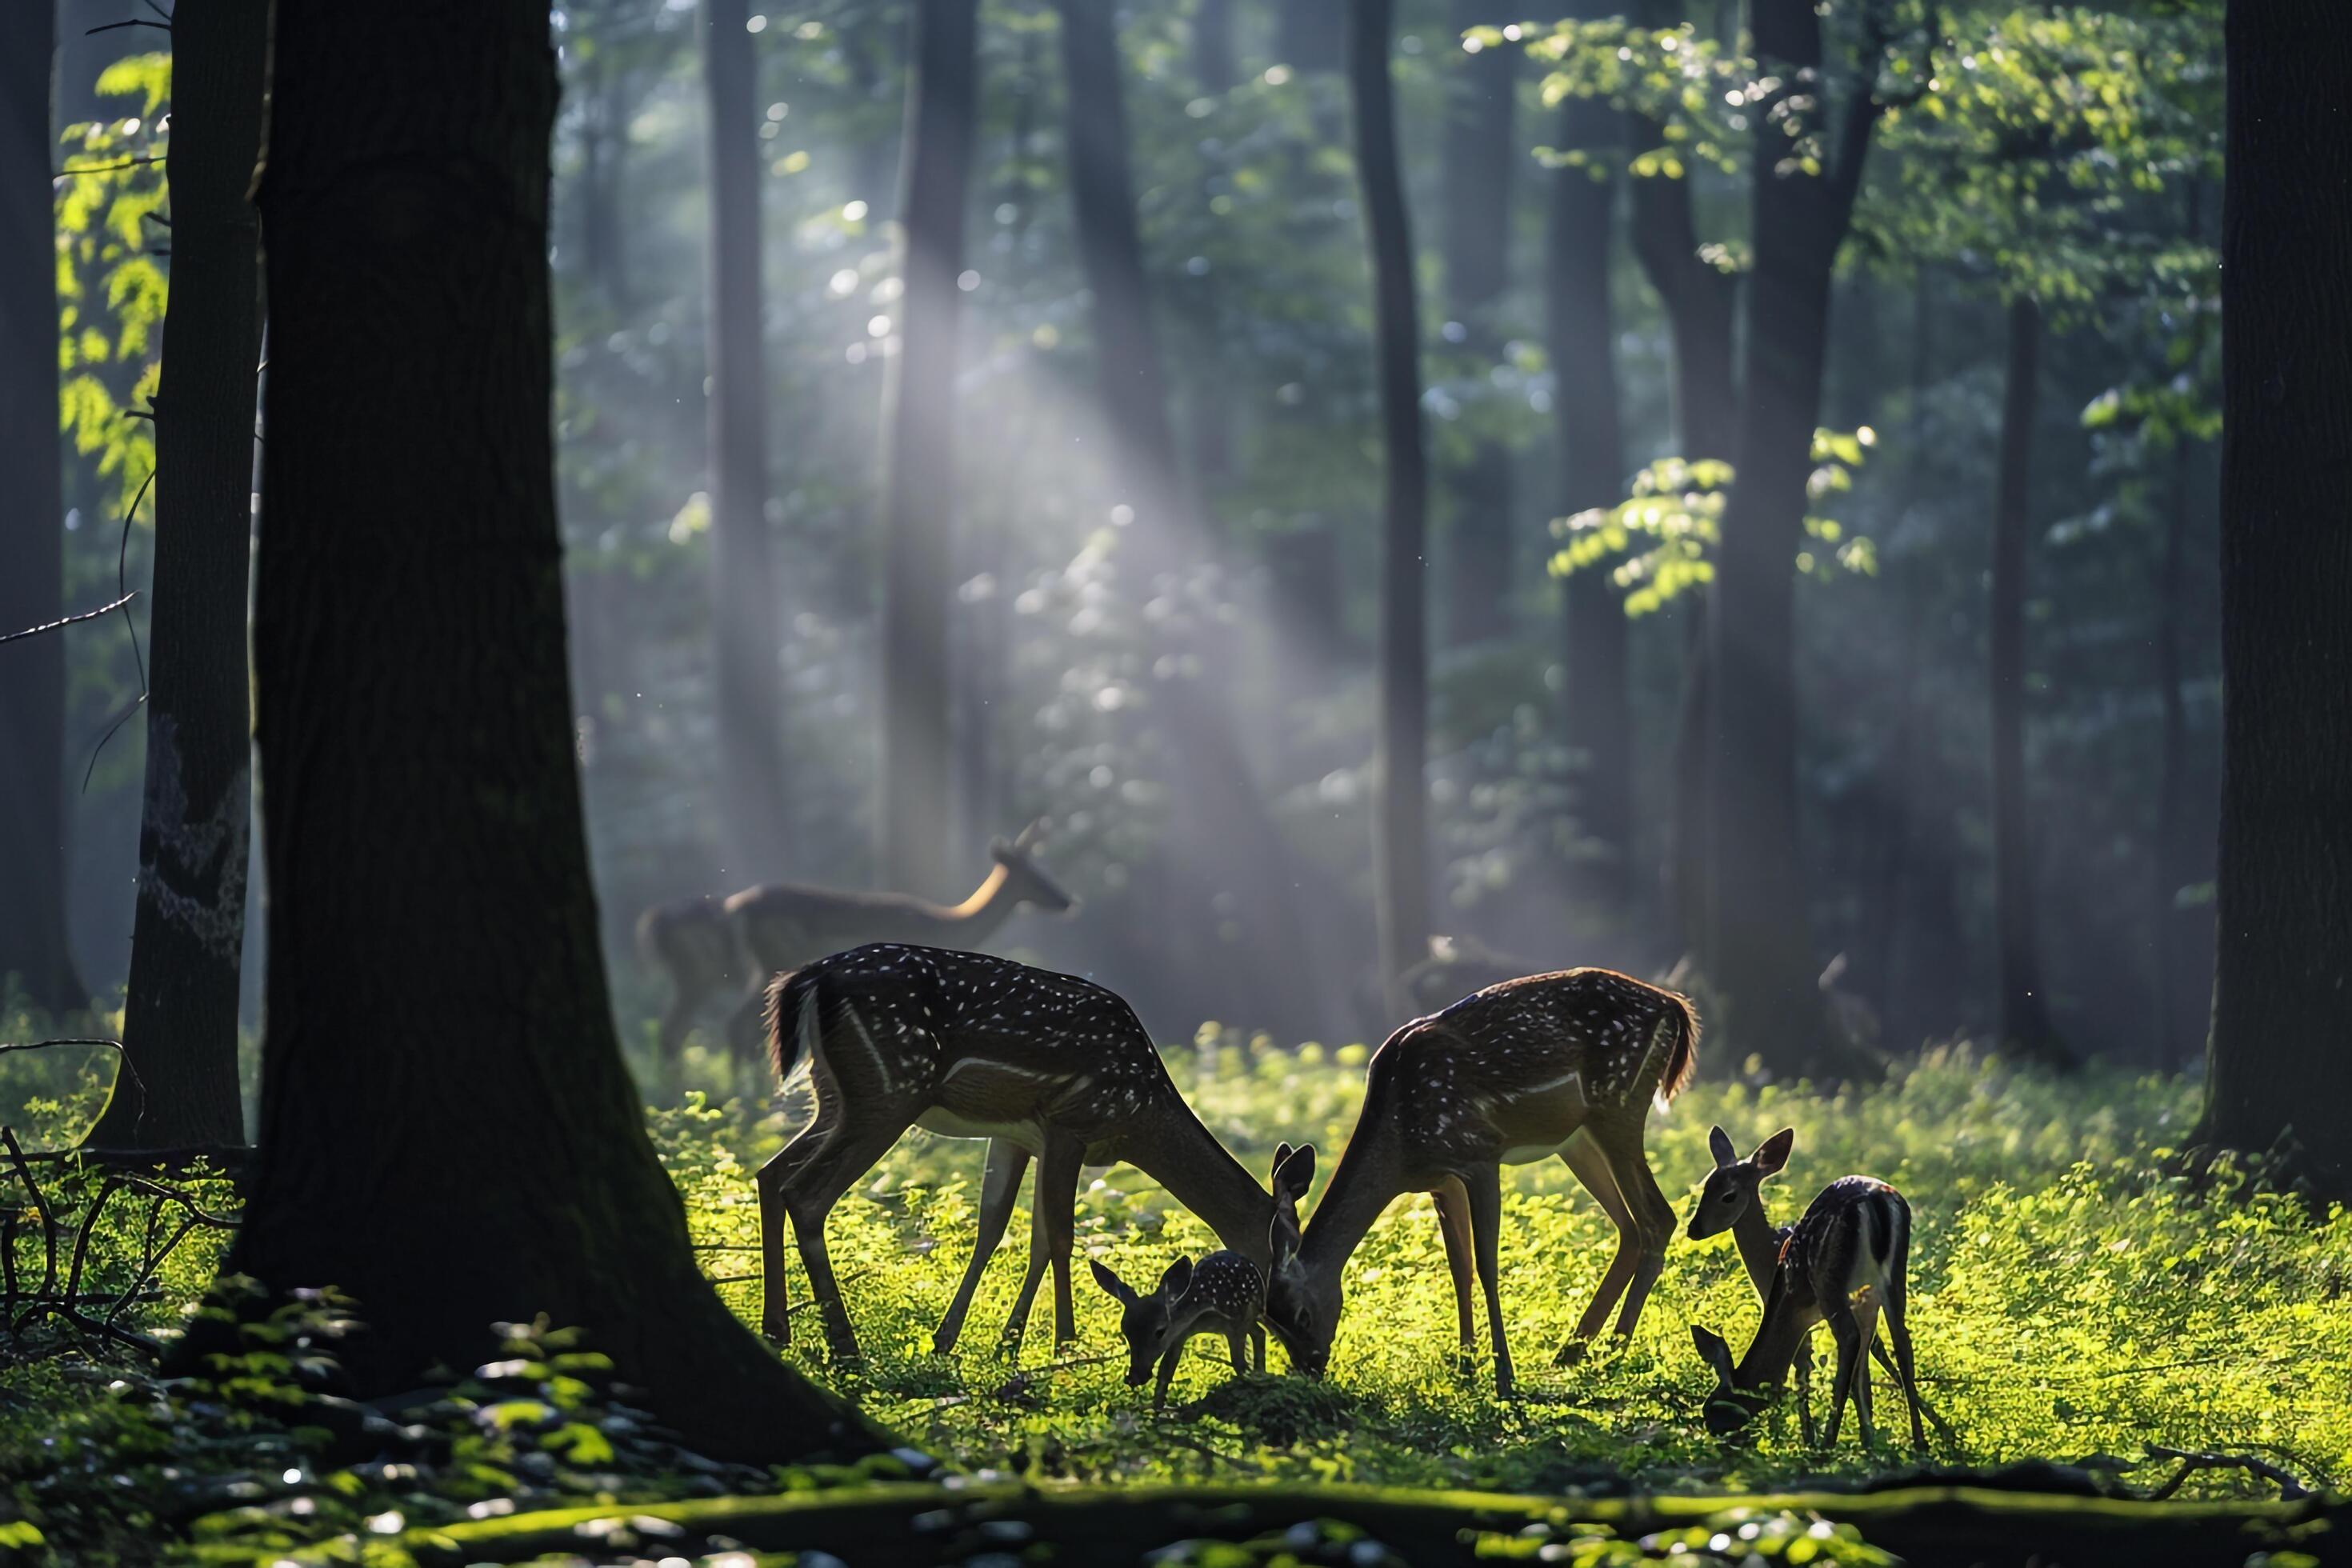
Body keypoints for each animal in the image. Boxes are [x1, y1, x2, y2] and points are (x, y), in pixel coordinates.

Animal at [634, 822, 1077, 1067]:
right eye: (1036, 874)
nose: (1067, 899)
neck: (949, 927)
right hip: (749, 962)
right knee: (720, 1027)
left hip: (737, 970)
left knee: (704, 1029)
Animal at [752, 945, 1317, 1363]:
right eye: (1294, 1266)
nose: (1313, 1352)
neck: (1140, 1115)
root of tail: (806, 979)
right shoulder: (1071, 1124)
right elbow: (1062, 1237)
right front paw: (1064, 1344)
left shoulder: (1020, 1136)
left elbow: (1007, 1231)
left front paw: (978, 1342)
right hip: (890, 1090)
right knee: (805, 1193)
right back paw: (844, 1346)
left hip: (834, 1097)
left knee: (769, 1174)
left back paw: (777, 1329)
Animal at [1096, 1241, 1279, 1419]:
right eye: (1125, 1330)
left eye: (1159, 1331)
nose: (1135, 1377)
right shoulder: (1180, 1335)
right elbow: (1165, 1371)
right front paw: (1158, 1410)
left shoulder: (1235, 1322)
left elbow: (1239, 1364)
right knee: (1259, 1333)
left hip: (1253, 1312)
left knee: (1259, 1333)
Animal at [1270, 968, 1693, 1401]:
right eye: (1271, 1322)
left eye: (1302, 1316)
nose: (1311, 1369)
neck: (1403, 1147)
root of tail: (1673, 1005)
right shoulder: (1441, 1180)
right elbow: (1460, 1268)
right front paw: (1466, 1369)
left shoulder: (1481, 1152)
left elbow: (1488, 1265)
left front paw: (1503, 1377)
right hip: (1577, 1139)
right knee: (1630, 1228)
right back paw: (1572, 1353)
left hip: (1619, 1106)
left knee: (1658, 1219)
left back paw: (1610, 1355)